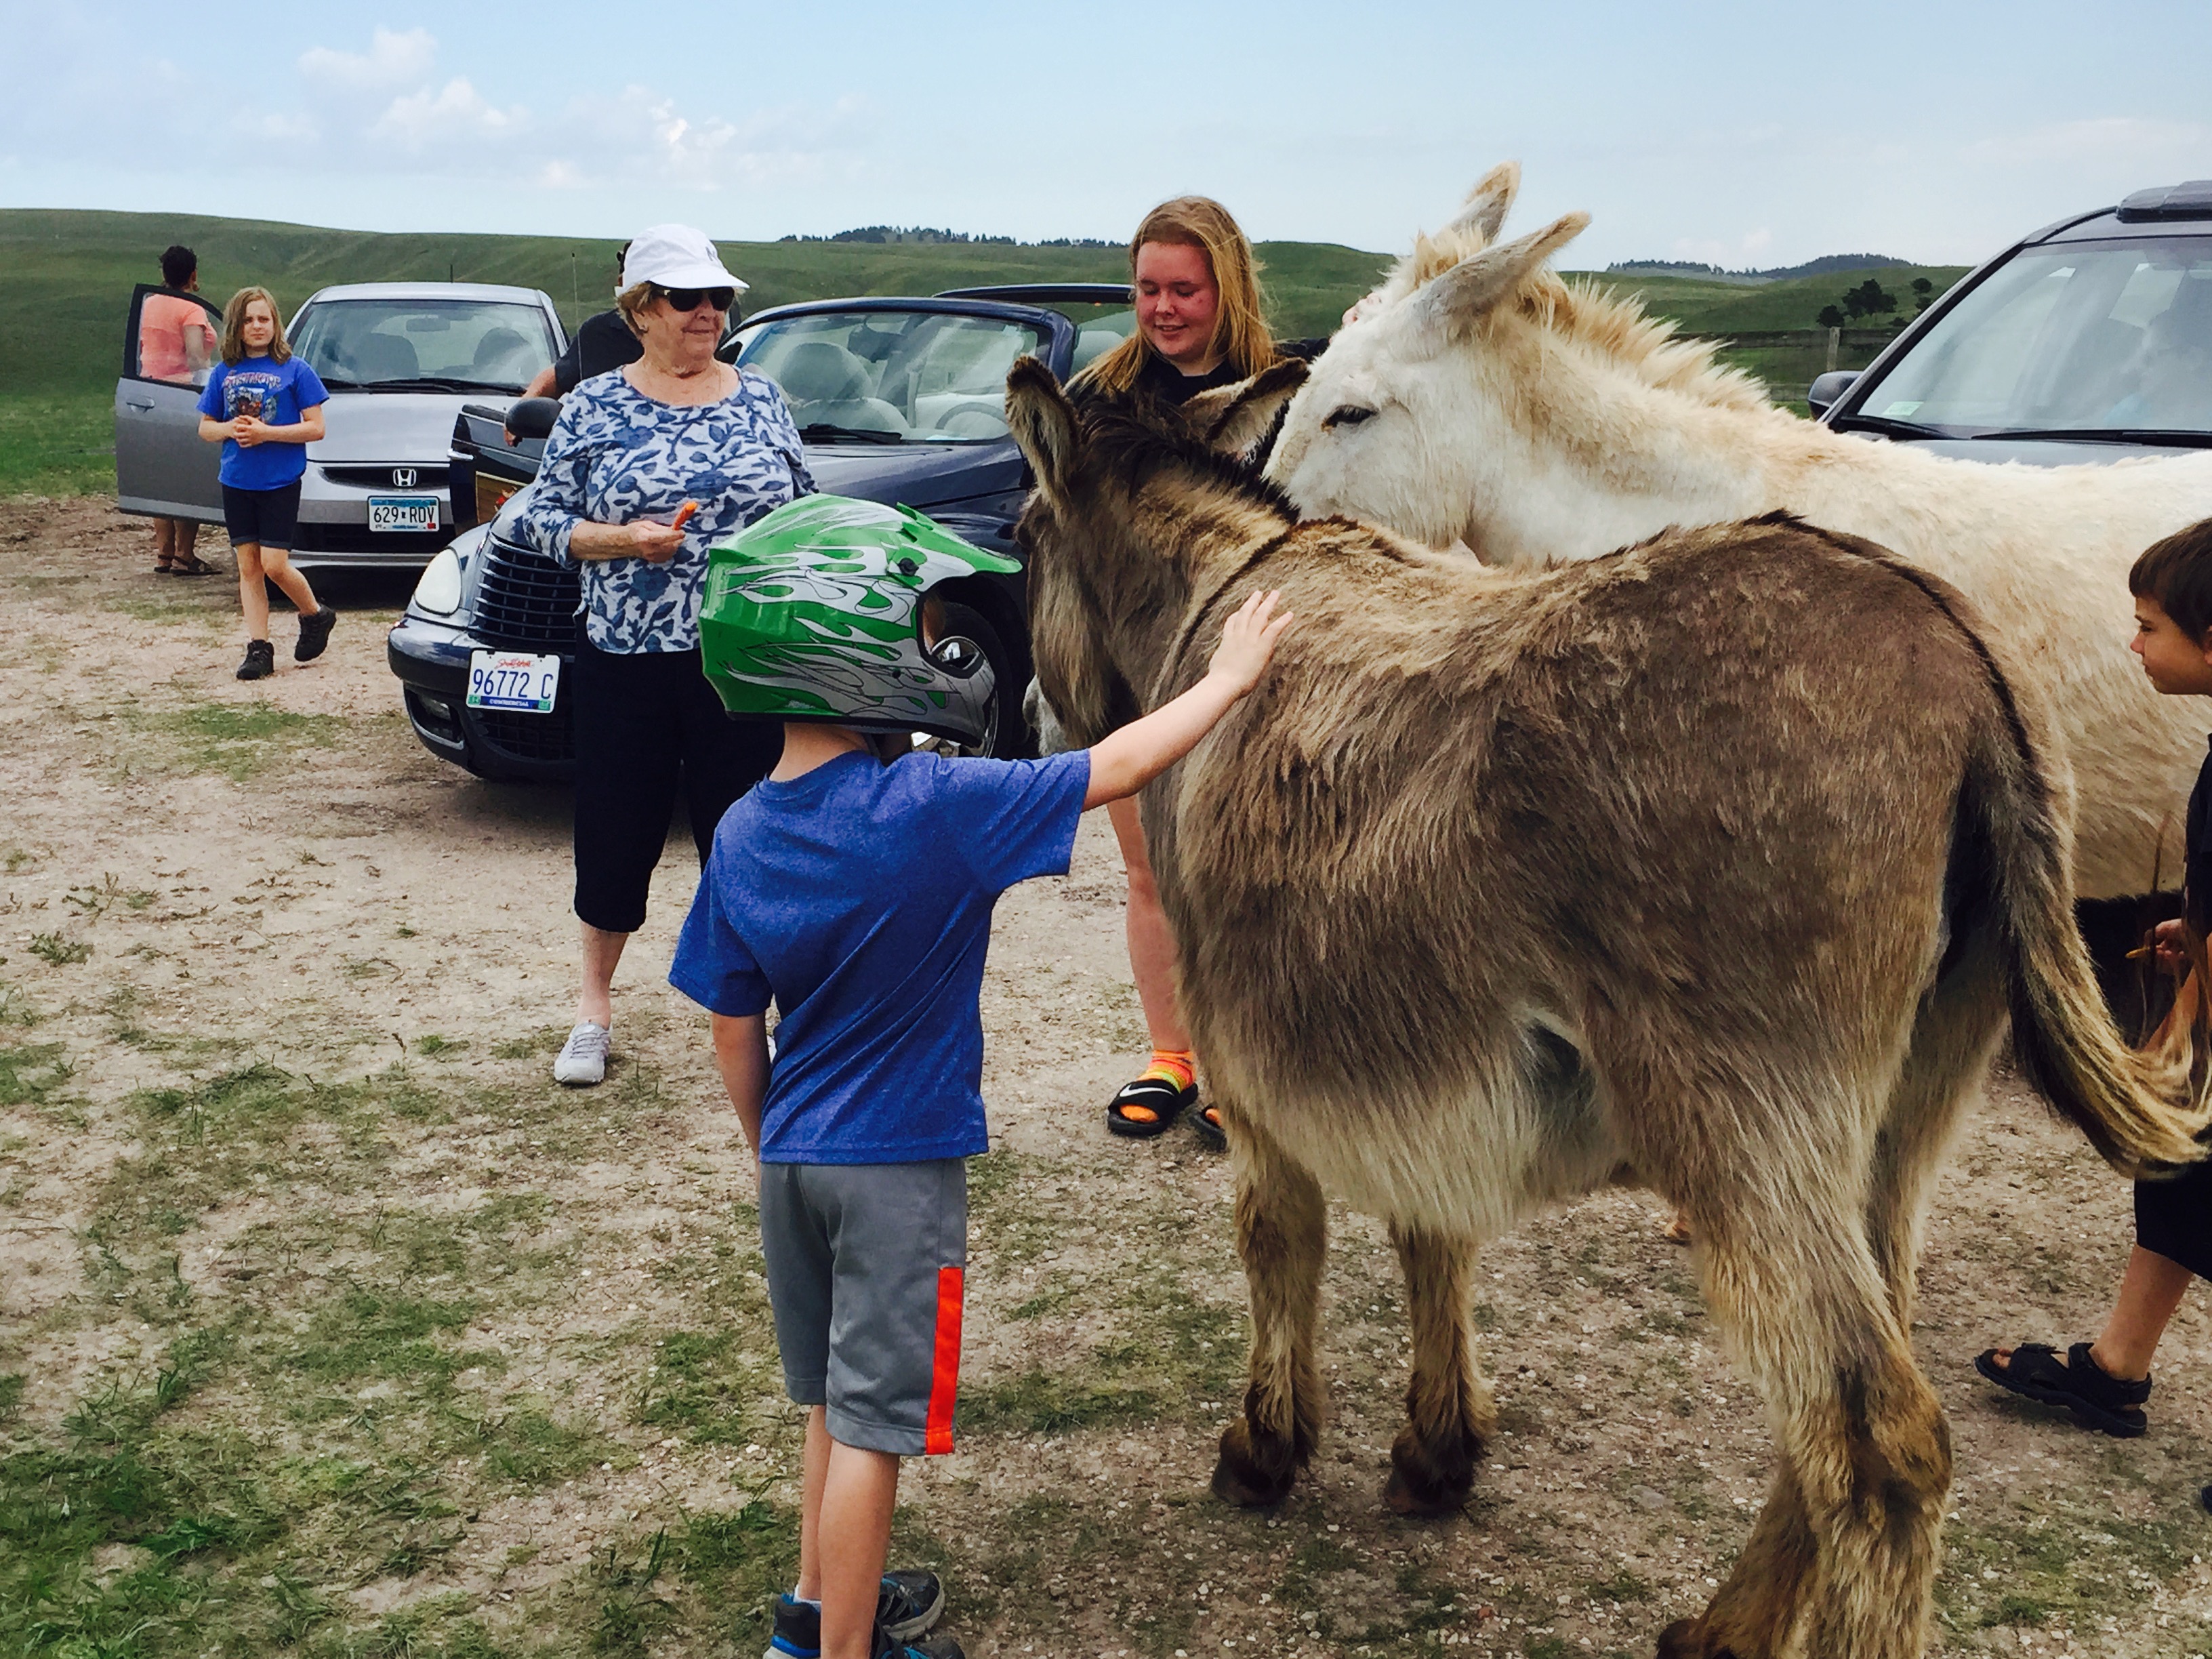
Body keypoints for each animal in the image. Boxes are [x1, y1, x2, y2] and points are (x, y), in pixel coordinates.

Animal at [1004, 355, 2205, 1659]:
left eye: (1016, 537)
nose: (1030, 724)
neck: (1228, 600)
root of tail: (1959, 662)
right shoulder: (1419, 1063)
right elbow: (1434, 1237)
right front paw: (1435, 1454)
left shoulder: (1253, 1067)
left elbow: (1276, 1239)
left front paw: (1265, 1449)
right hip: (1900, 1112)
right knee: (1842, 1383)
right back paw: (1726, 1627)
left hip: (1737, 1115)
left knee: (1879, 1438)